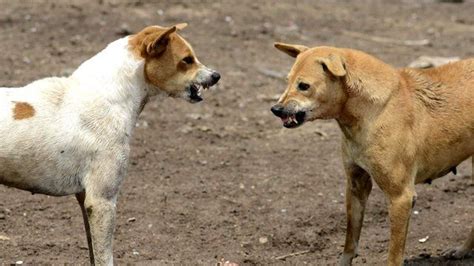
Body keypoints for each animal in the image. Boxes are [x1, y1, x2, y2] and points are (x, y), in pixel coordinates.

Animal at [270, 42, 474, 264]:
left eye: (304, 86)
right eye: (288, 81)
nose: (275, 109)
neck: (372, 110)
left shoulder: (400, 197)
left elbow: (394, 256)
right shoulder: (356, 185)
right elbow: (350, 242)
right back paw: (463, 250)